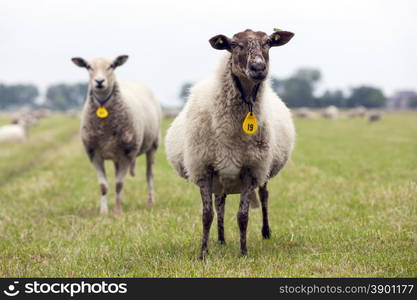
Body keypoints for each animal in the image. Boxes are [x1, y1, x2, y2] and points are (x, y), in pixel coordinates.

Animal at [71, 55, 161, 216]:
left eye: (112, 66)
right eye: (88, 66)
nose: (99, 81)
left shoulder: (127, 154)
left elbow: (119, 184)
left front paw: (118, 212)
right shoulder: (94, 154)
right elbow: (103, 186)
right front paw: (104, 212)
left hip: (153, 145)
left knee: (149, 175)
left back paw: (150, 202)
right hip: (115, 155)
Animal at [164, 28, 294, 258]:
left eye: (268, 42)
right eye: (234, 45)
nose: (258, 67)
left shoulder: (252, 169)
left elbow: (243, 216)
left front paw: (243, 253)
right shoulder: (204, 168)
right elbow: (207, 214)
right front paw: (203, 253)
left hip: (262, 169)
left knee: (264, 196)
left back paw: (265, 232)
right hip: (221, 174)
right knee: (220, 204)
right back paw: (221, 239)